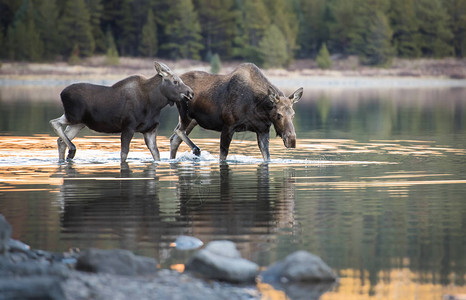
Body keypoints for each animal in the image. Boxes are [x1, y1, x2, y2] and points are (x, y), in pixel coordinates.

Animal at [51, 61, 195, 163]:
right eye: (175, 81)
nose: (191, 92)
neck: (155, 104)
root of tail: (61, 93)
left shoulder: (150, 130)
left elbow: (156, 154)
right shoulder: (128, 127)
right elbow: (124, 154)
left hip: (78, 123)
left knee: (61, 141)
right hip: (72, 116)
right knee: (54, 122)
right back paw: (72, 150)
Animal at [169, 63, 304, 162]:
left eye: (293, 115)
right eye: (279, 115)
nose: (292, 140)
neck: (260, 109)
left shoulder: (263, 131)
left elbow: (267, 158)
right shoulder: (228, 126)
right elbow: (222, 157)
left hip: (194, 120)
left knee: (174, 139)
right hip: (185, 114)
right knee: (178, 131)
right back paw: (196, 149)